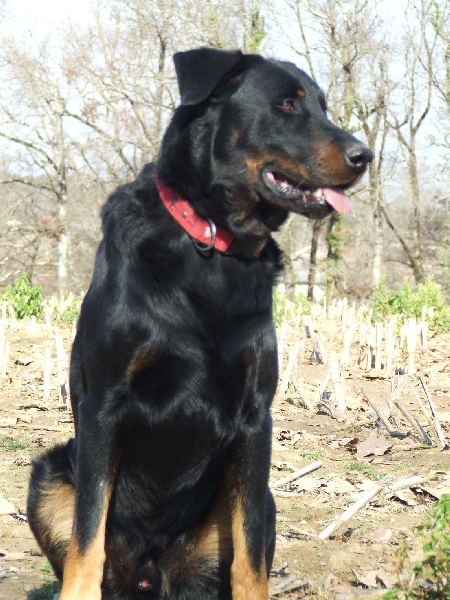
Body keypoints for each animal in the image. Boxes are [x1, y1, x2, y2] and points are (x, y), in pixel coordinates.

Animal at [27, 48, 372, 600]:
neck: (212, 240)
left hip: (260, 499)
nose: (365, 156)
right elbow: (88, 535)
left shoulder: (255, 417)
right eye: (286, 105)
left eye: (324, 106)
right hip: (48, 475)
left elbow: (250, 556)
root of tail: (151, 577)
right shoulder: (104, 404)